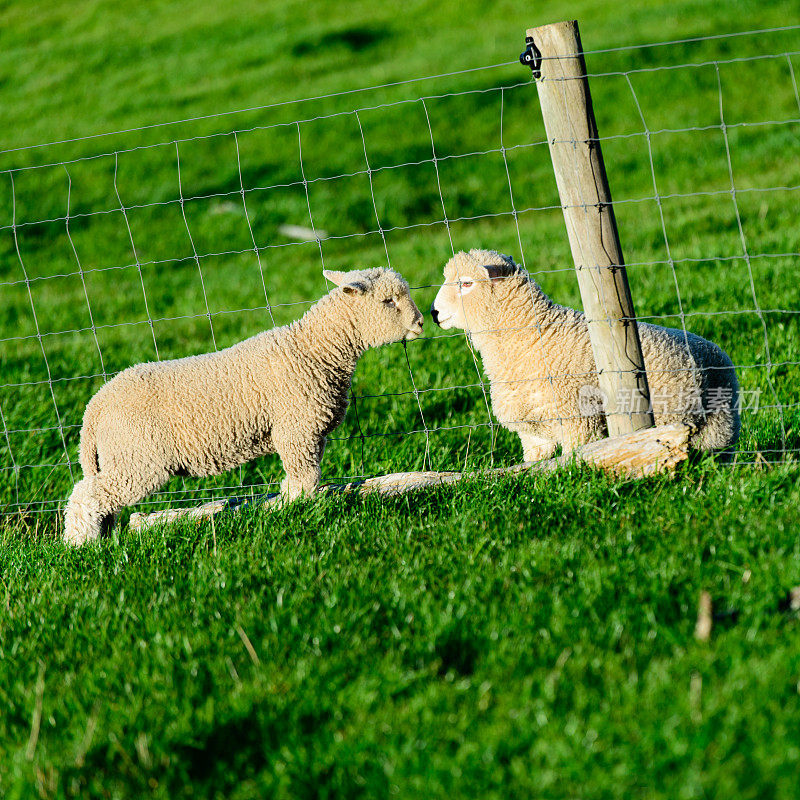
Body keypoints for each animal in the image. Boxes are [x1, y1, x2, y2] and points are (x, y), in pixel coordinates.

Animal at [64, 268, 424, 544]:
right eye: (388, 301)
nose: (421, 323)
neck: (314, 351)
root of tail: (95, 407)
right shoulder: (296, 429)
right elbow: (305, 477)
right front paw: (296, 509)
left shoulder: (311, 432)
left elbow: (300, 477)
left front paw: (284, 505)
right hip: (138, 458)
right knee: (87, 495)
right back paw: (80, 546)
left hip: (121, 456)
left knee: (100, 498)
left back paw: (102, 538)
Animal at [434, 250, 740, 462]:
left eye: (466, 283)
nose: (434, 313)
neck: (534, 337)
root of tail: (714, 348)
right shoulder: (533, 434)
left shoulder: (579, 420)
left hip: (718, 425)